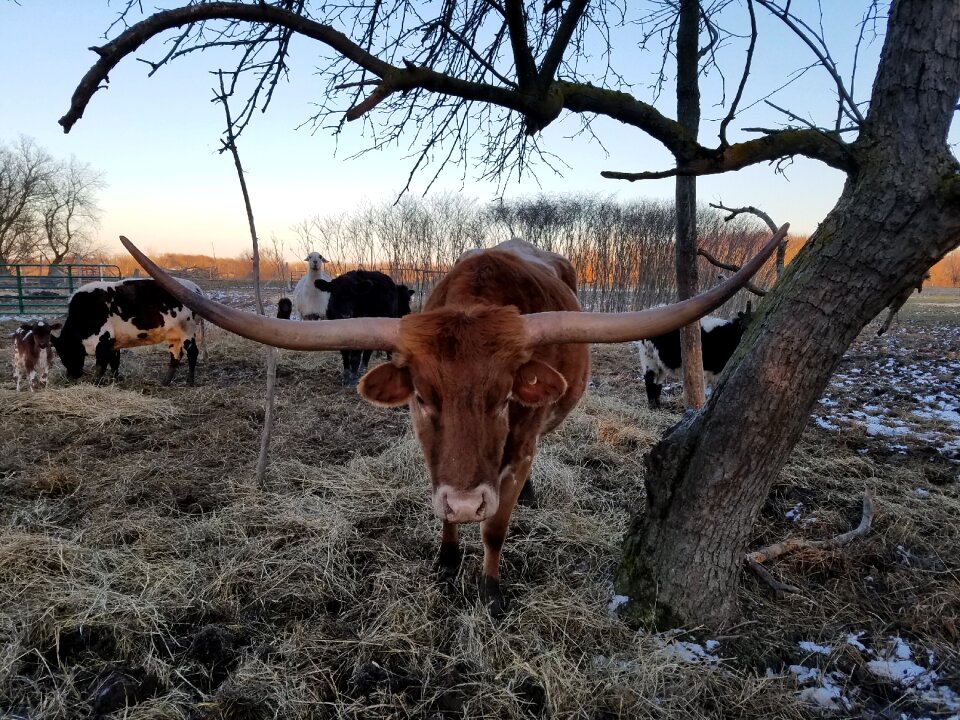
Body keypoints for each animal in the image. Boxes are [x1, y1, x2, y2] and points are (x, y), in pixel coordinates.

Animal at [52, 278, 204, 388]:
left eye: (65, 353)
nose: (72, 375)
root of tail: (195, 287)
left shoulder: (103, 341)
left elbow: (100, 366)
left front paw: (96, 384)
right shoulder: (113, 345)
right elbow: (114, 363)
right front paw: (116, 380)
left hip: (187, 331)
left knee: (192, 353)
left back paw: (190, 381)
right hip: (174, 336)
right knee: (175, 356)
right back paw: (165, 382)